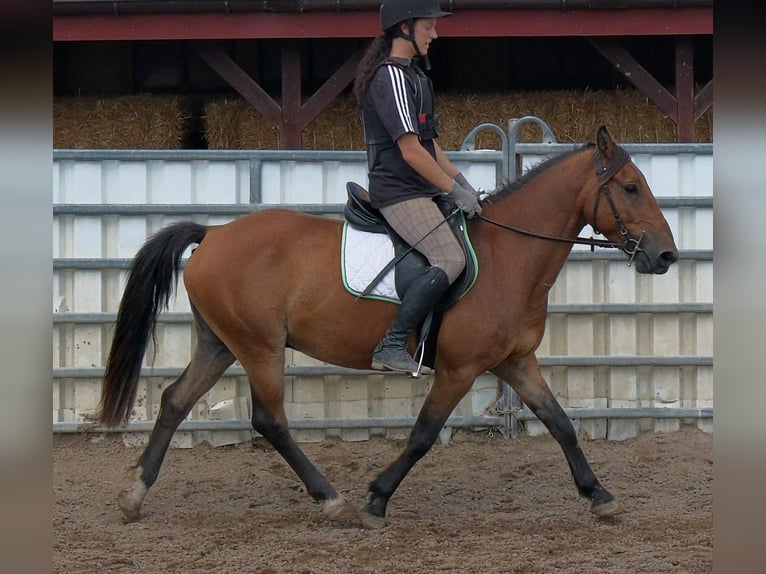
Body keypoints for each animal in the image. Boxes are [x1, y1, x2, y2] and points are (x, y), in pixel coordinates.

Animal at [99, 125, 678, 529]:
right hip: (259, 346)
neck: (508, 255)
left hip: (220, 342)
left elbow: (560, 424)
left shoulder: (515, 362)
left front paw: (600, 496)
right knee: (270, 420)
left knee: (176, 400)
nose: (666, 256)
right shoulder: (459, 369)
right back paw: (333, 501)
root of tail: (214, 234)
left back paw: (132, 496)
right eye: (631, 187)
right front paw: (376, 499)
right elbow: (422, 435)